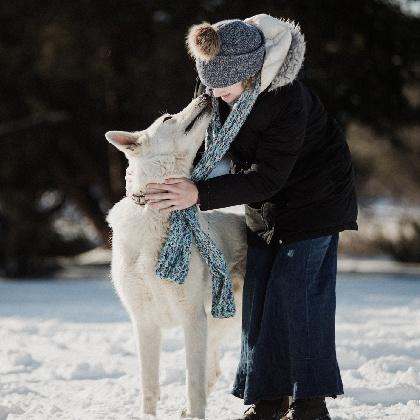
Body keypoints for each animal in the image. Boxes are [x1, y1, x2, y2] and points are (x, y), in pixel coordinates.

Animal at [105, 95, 248, 420]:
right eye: (167, 118)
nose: (205, 95)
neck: (158, 214)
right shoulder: (144, 322)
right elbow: (149, 384)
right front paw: (148, 416)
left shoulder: (192, 318)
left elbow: (192, 383)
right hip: (216, 324)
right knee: (214, 369)